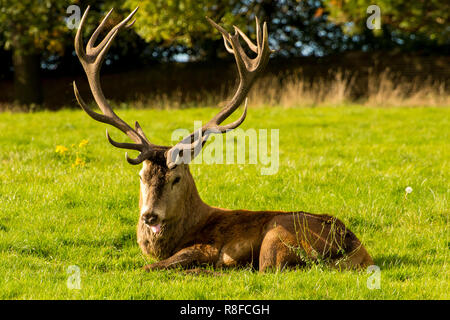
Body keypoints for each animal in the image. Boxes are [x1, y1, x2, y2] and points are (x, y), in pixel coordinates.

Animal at [74, 6, 374, 272]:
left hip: (278, 233)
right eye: (141, 176)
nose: (150, 215)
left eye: (176, 178)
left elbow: (148, 267)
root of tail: (355, 247)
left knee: (268, 270)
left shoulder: (207, 246)